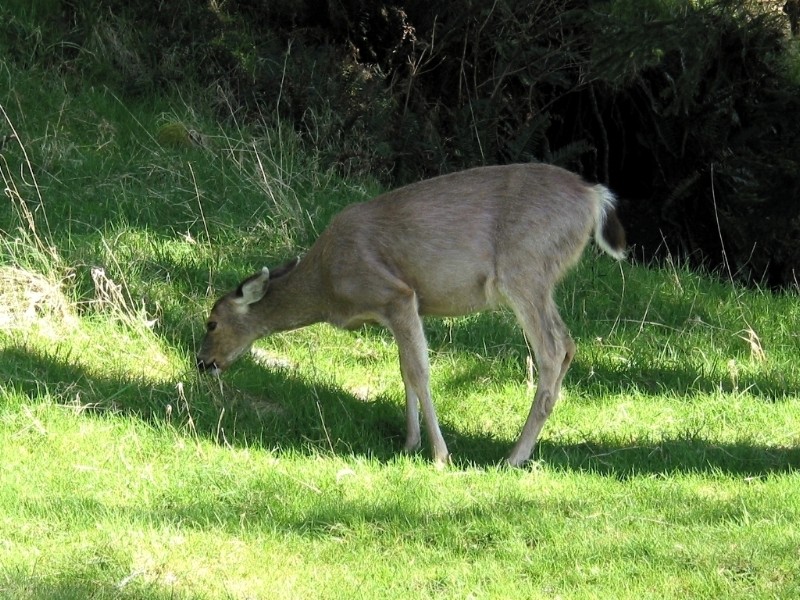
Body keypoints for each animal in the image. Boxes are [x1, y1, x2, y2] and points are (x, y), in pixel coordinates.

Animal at [197, 164, 628, 468]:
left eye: (212, 322)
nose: (203, 362)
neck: (327, 286)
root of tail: (594, 196)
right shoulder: (400, 310)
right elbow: (404, 370)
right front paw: (409, 443)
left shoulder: (396, 294)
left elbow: (420, 372)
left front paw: (440, 455)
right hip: (542, 281)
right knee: (568, 344)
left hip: (524, 269)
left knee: (551, 351)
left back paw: (513, 456)